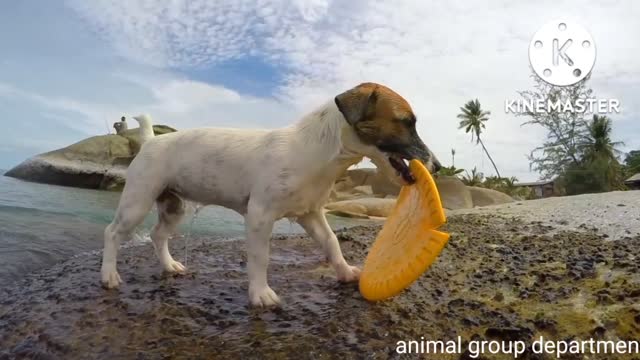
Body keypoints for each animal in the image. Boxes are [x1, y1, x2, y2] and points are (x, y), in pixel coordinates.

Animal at [101, 82, 440, 306]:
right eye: (406, 122)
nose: (437, 167)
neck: (318, 151)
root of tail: (150, 141)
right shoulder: (260, 215)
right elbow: (260, 257)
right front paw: (260, 293)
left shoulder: (311, 214)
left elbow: (331, 243)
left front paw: (344, 271)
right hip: (138, 200)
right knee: (112, 232)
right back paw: (109, 275)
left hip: (173, 206)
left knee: (158, 235)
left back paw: (169, 266)